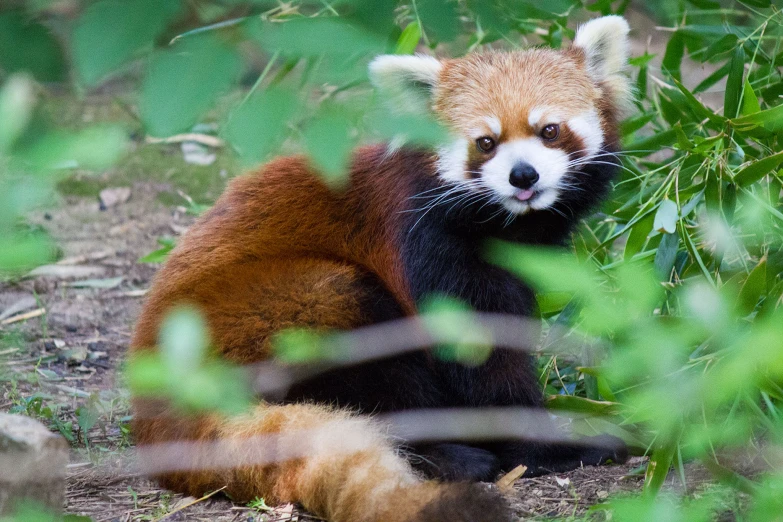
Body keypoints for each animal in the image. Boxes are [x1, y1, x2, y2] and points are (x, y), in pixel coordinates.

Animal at [132, 15, 632, 520]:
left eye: (549, 130)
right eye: (485, 143)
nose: (523, 175)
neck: (505, 224)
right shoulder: (426, 244)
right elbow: (479, 357)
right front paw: (548, 446)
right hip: (284, 306)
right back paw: (447, 456)